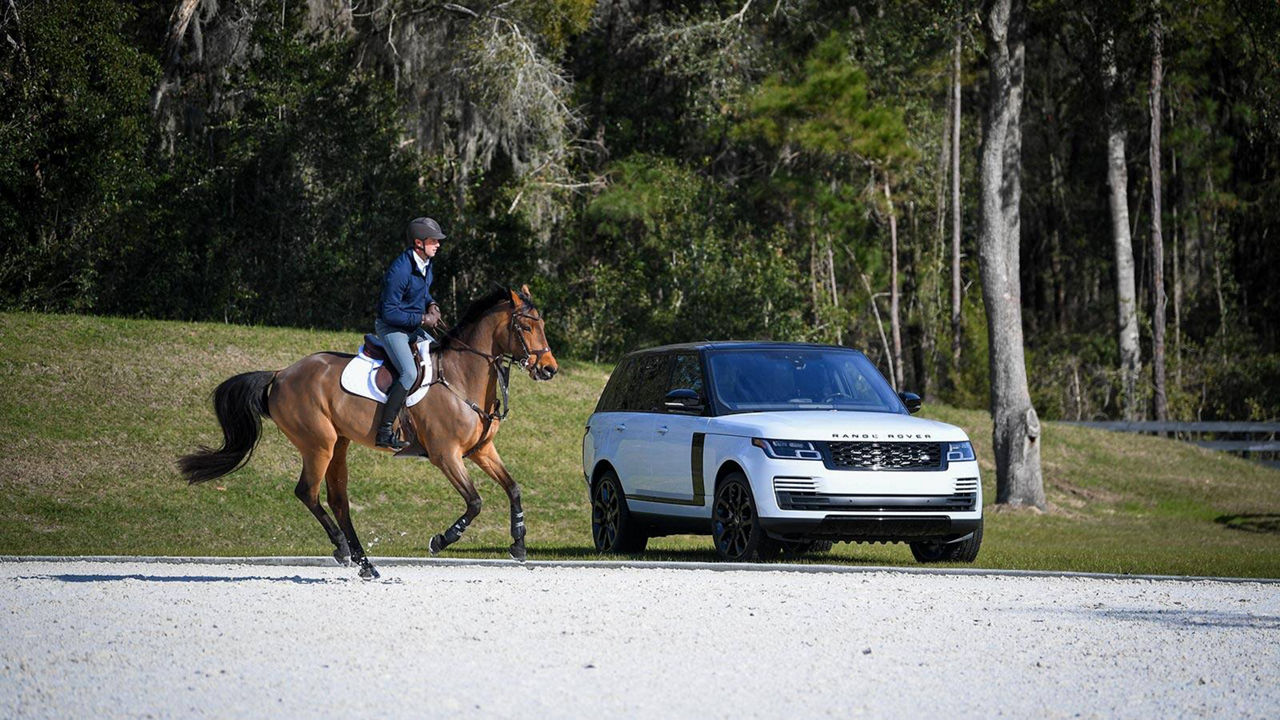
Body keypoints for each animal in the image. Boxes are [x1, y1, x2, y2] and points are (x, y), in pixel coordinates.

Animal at [177, 285, 558, 576]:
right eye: (526, 328)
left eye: (541, 324)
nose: (549, 369)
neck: (462, 377)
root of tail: (281, 373)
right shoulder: (446, 455)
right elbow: (475, 502)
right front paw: (441, 540)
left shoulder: (481, 451)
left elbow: (513, 488)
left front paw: (518, 544)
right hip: (319, 444)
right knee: (308, 493)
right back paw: (343, 549)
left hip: (339, 445)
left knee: (338, 500)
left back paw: (365, 563)